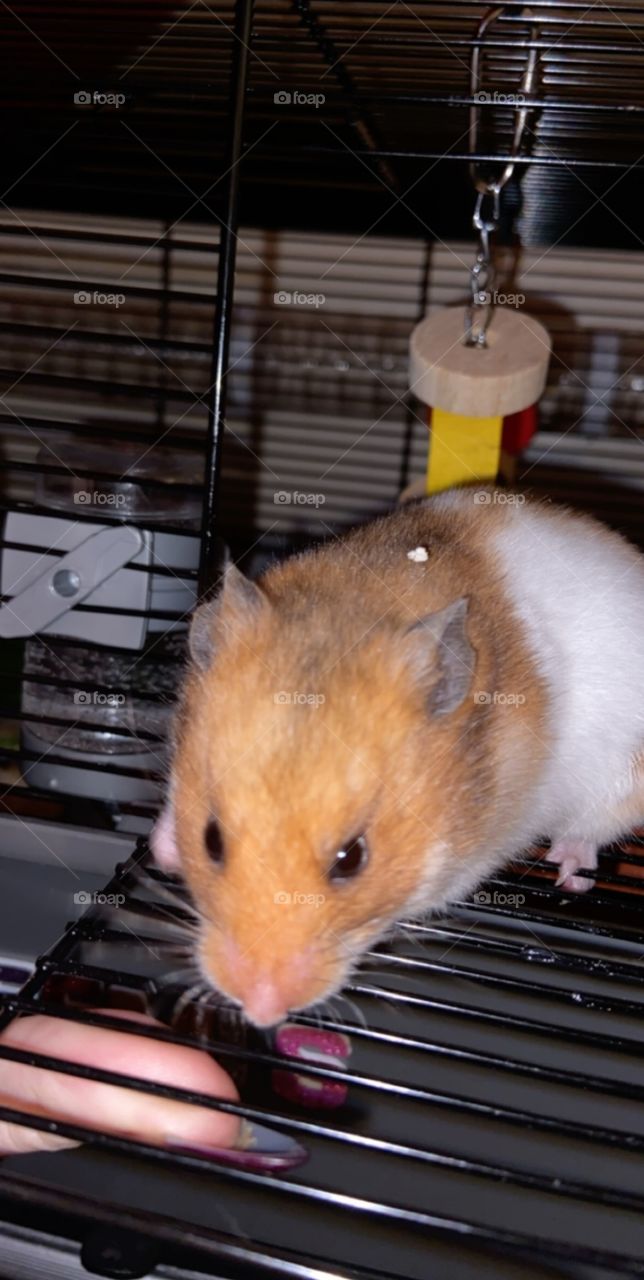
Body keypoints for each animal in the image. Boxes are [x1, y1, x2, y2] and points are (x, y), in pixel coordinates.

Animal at [151, 488, 644, 1027]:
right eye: (211, 840)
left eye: (352, 859)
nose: (261, 1012)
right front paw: (163, 848)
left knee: (592, 831)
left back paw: (568, 872)